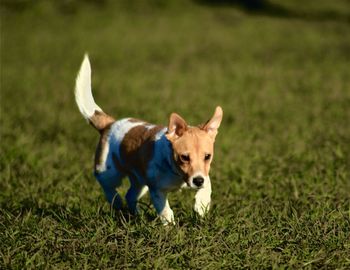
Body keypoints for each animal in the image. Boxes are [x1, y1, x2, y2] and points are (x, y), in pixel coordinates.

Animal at [74, 54, 223, 224]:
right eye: (184, 157)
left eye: (207, 157)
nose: (198, 181)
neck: (176, 173)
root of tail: (110, 123)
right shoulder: (157, 191)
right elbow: (165, 211)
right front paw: (171, 226)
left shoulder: (205, 176)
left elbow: (206, 189)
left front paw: (201, 208)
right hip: (110, 172)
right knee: (107, 185)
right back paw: (116, 201)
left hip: (140, 181)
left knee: (130, 195)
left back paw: (136, 215)